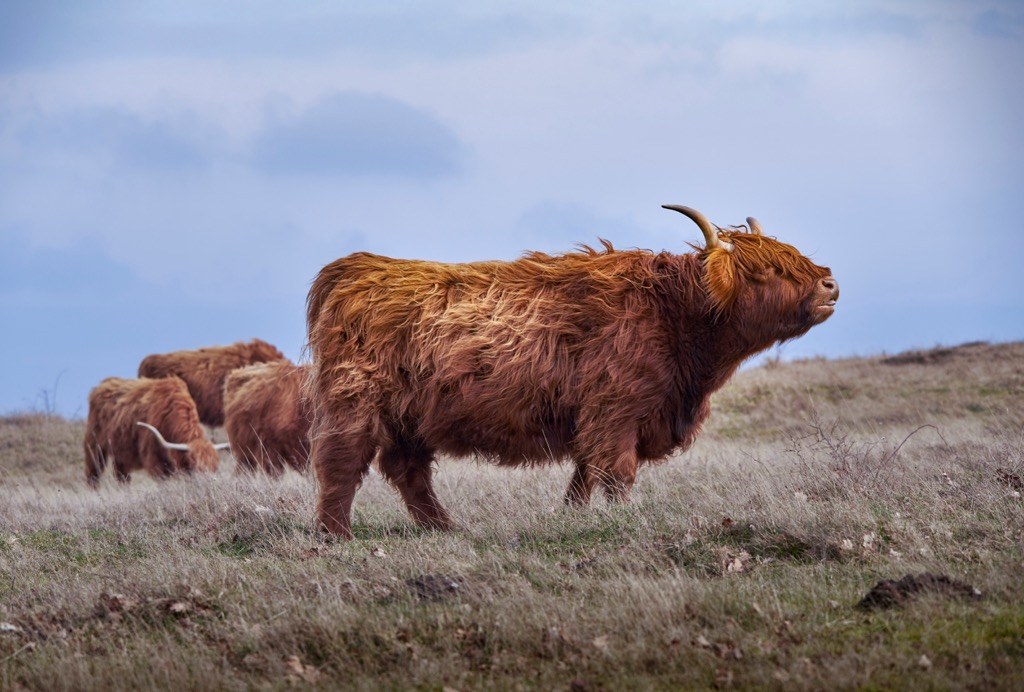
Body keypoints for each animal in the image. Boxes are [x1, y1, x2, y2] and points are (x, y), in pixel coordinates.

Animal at [83, 376, 226, 486]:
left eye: (215, 466)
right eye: (196, 466)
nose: (210, 482)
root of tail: (103, 384)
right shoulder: (155, 461)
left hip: (119, 454)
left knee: (122, 477)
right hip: (94, 447)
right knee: (93, 474)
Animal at [304, 204, 839, 538]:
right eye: (767, 271)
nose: (830, 285)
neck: (675, 315)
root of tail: (358, 269)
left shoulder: (599, 418)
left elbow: (584, 474)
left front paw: (573, 519)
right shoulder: (616, 409)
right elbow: (617, 473)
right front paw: (626, 521)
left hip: (411, 416)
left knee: (408, 470)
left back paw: (445, 528)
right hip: (356, 402)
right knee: (342, 462)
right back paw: (335, 536)